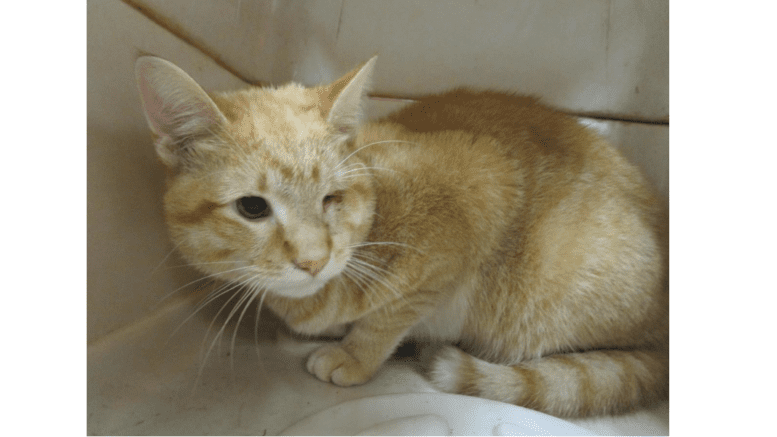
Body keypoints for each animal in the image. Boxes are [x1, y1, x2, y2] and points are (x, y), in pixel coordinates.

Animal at [135, 54, 668, 416]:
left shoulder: (480, 190)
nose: (313, 260)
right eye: (252, 208)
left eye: (332, 199)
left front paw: (354, 355)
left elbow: (387, 318)